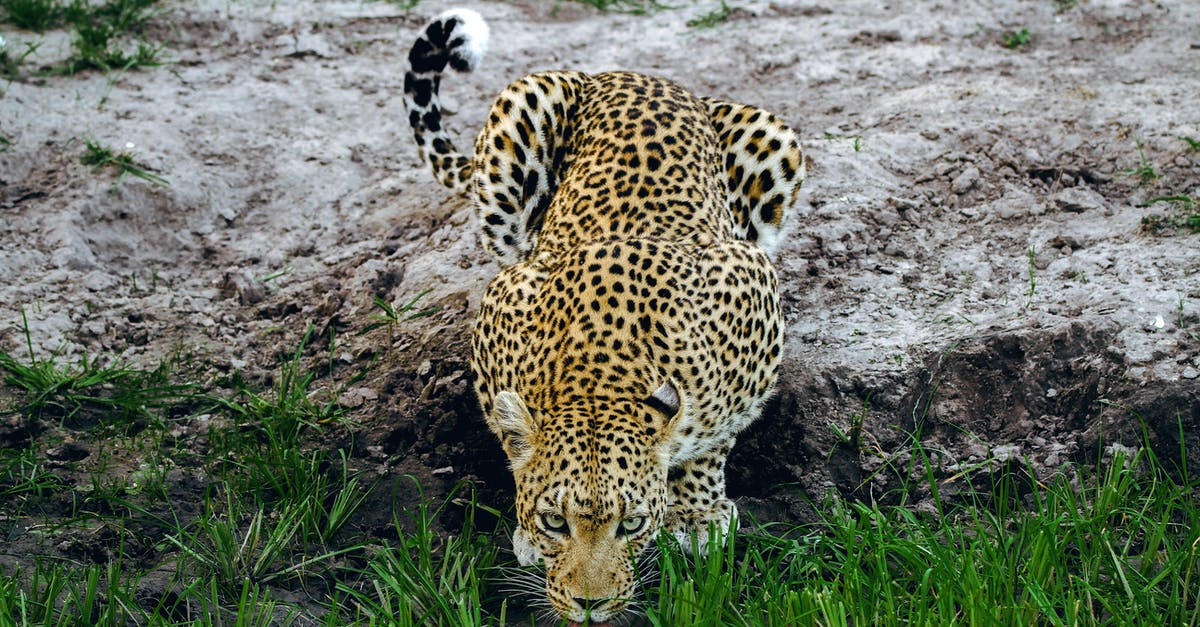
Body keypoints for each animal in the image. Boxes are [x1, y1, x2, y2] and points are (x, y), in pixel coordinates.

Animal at [403, 8, 806, 619]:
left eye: (632, 525)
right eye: (555, 521)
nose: (588, 605)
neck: (598, 374)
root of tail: (632, 73)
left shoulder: (749, 283)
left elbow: (715, 437)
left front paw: (697, 513)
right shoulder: (504, 300)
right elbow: (509, 433)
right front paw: (527, 530)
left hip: (774, 140)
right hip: (521, 114)